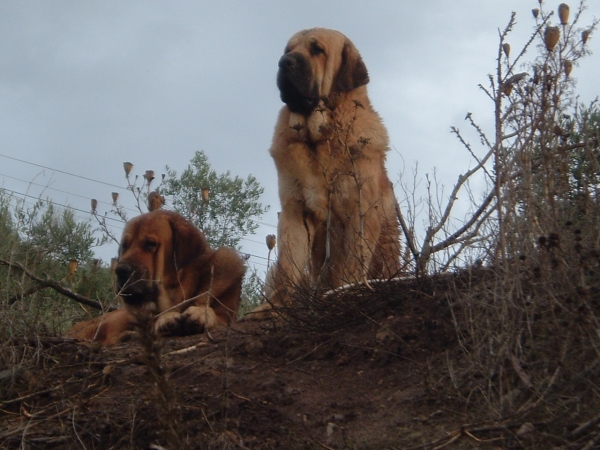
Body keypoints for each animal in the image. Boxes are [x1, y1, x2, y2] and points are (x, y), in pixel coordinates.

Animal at [65, 210, 244, 344]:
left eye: (150, 244)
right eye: (125, 246)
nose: (120, 270)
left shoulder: (226, 316)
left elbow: (213, 313)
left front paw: (200, 313)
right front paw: (166, 318)